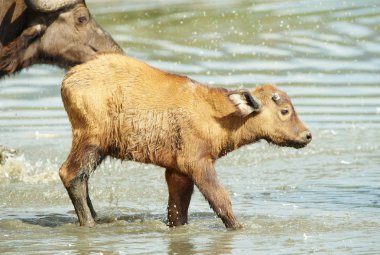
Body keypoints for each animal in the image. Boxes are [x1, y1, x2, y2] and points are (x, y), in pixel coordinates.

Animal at [58, 53, 308, 229]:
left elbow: (177, 212)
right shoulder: (197, 163)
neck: (219, 115)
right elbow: (220, 199)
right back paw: (89, 223)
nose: (307, 135)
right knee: (70, 174)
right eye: (285, 110)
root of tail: (69, 78)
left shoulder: (177, 172)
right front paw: (238, 226)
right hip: (92, 140)